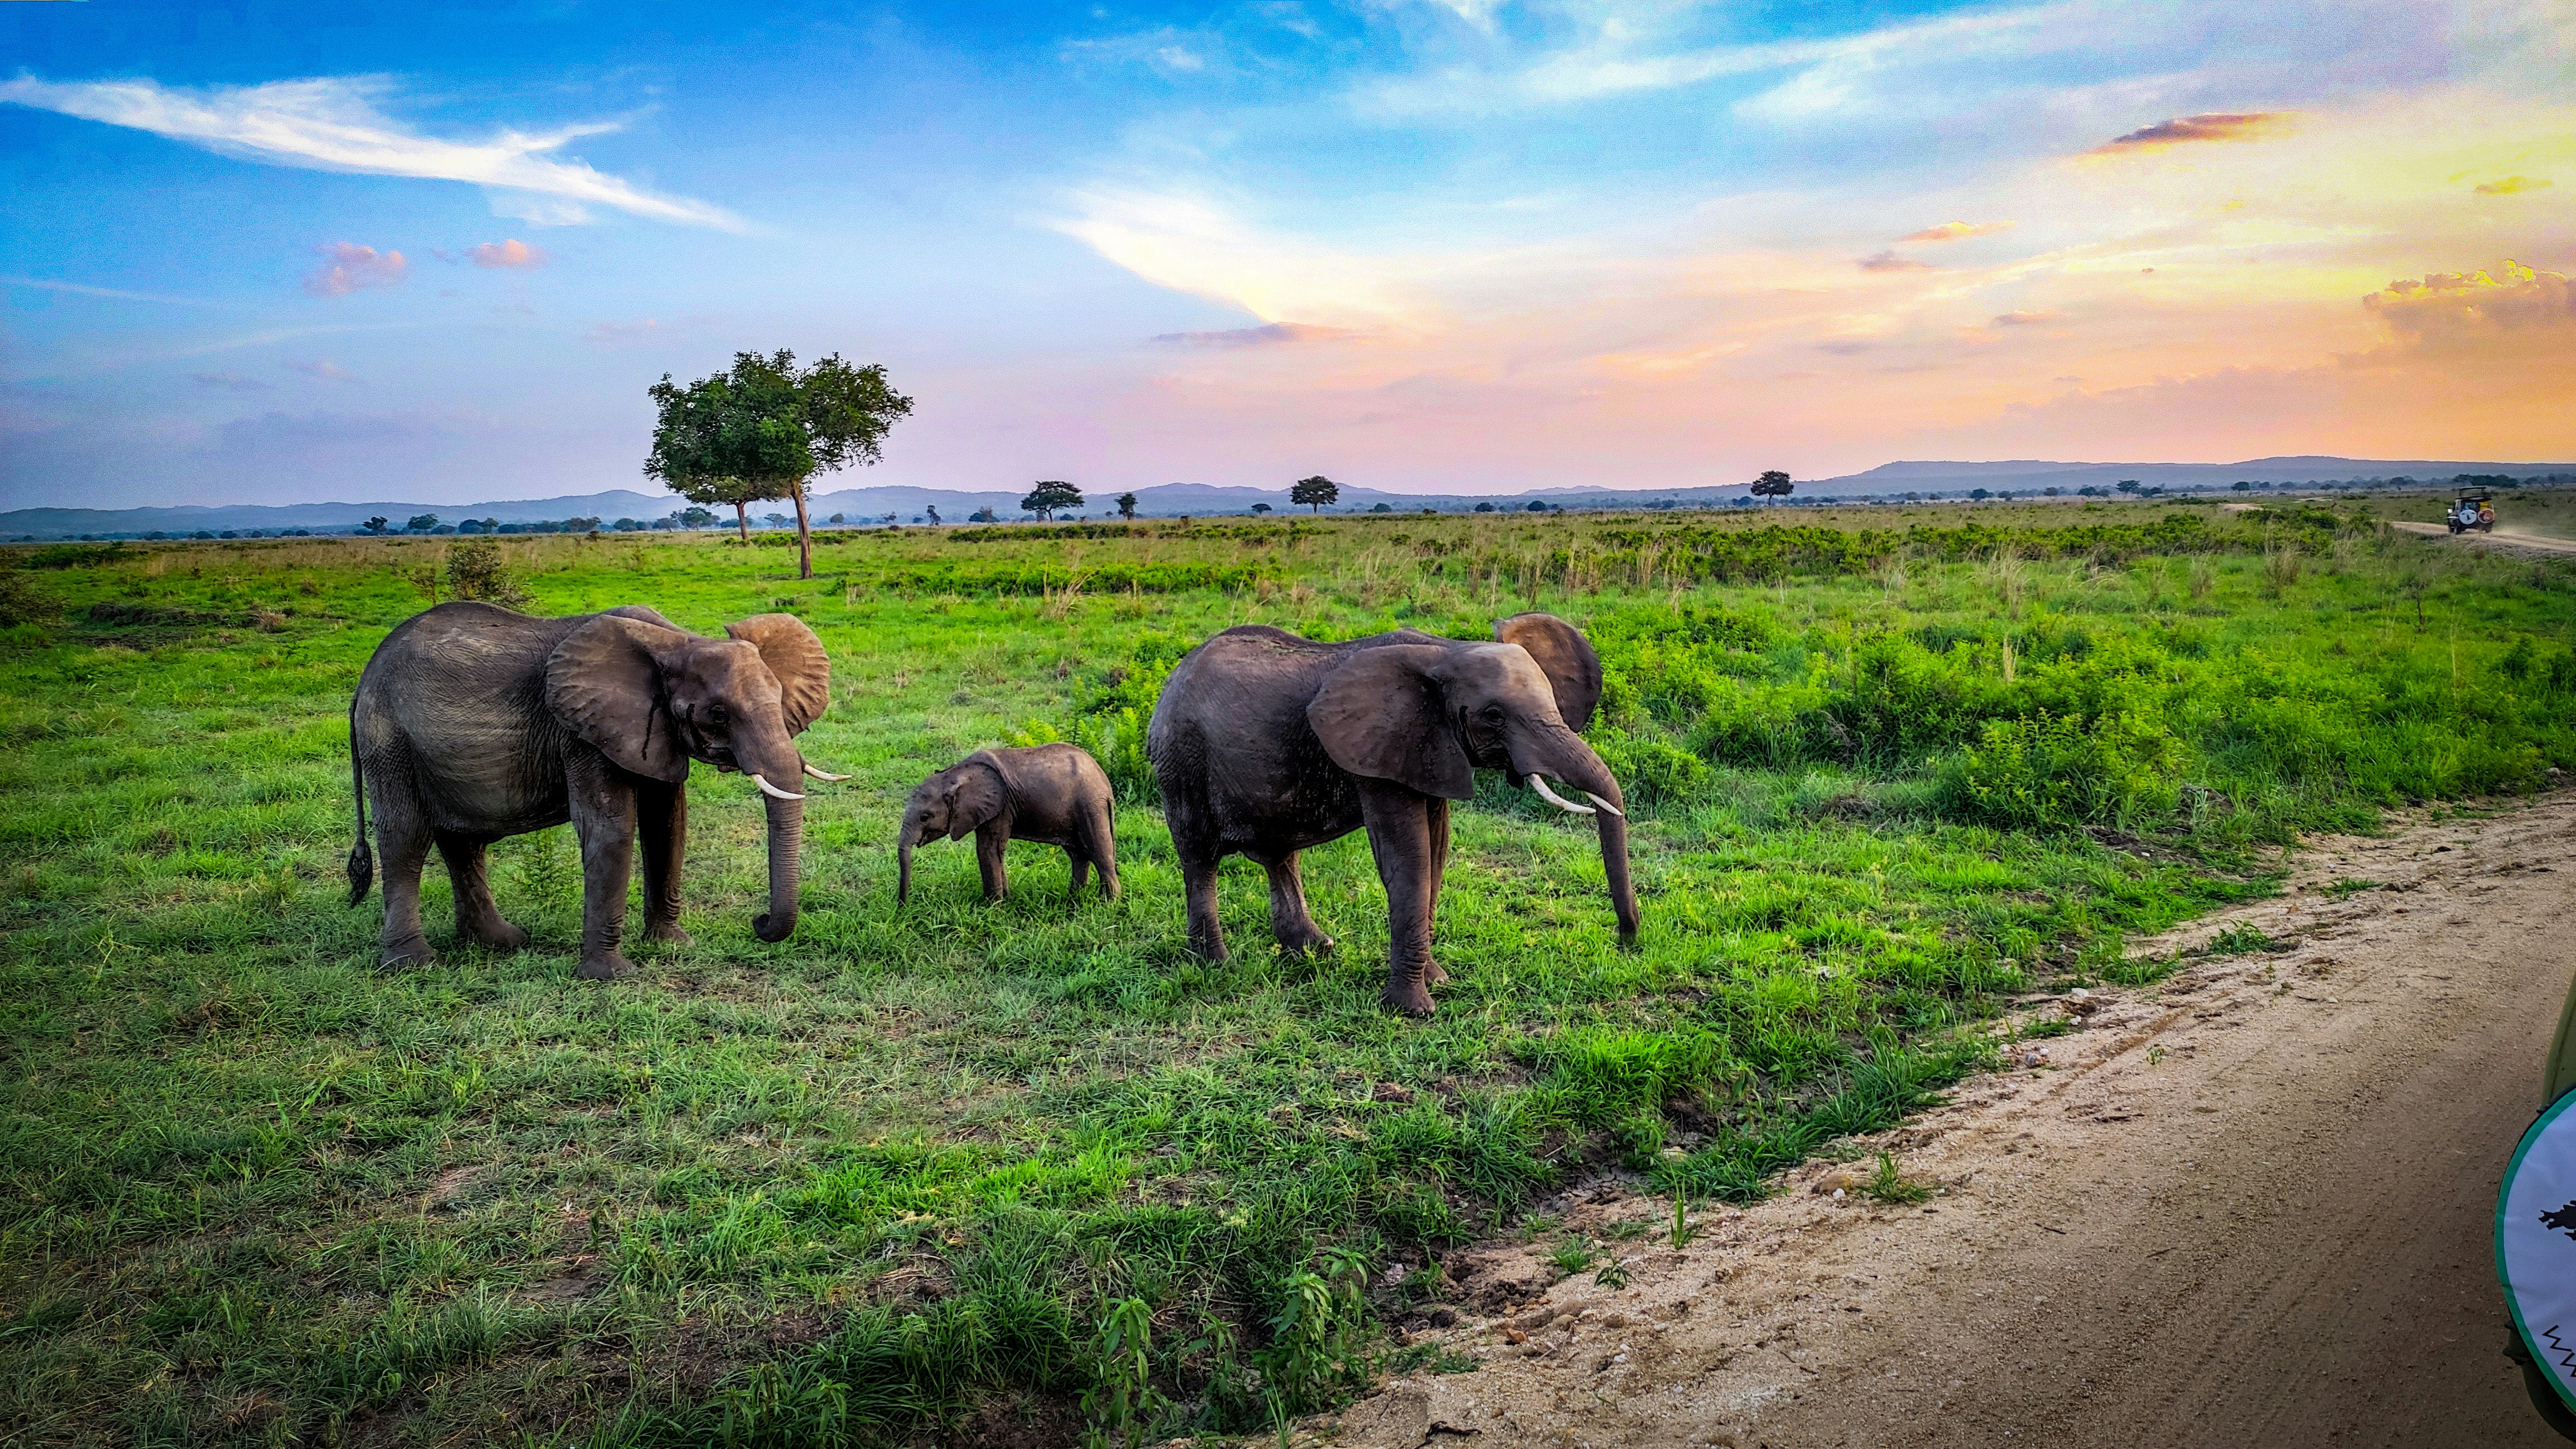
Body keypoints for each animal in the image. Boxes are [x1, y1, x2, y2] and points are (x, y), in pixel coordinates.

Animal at [344, 601, 843, 979]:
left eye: (779, 699)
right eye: (718, 715)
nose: (758, 922)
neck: (678, 642)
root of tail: (364, 676)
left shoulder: (652, 731)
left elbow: (668, 824)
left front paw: (673, 947)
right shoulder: (583, 734)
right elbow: (612, 829)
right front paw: (611, 976)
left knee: (462, 841)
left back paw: (500, 943)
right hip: (388, 738)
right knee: (406, 837)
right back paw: (414, 965)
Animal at [897, 744, 1119, 905]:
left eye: (925, 817)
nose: (903, 907)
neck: (954, 774)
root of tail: (1104, 781)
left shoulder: (1000, 807)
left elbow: (988, 849)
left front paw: (992, 909)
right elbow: (996, 852)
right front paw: (1007, 901)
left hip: (1090, 806)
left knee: (1099, 850)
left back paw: (1108, 905)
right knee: (1079, 854)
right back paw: (1074, 900)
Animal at [1146, 611, 1636, 1015]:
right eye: (1494, 716)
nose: (1626, 940)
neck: (1447, 649)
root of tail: (1173, 676)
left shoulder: (1428, 749)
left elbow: (1436, 853)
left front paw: (1439, 981)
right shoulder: (1380, 749)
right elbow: (1409, 858)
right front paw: (1413, 1010)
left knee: (1280, 856)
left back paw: (1315, 950)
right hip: (1182, 760)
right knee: (1199, 858)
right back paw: (1216, 964)